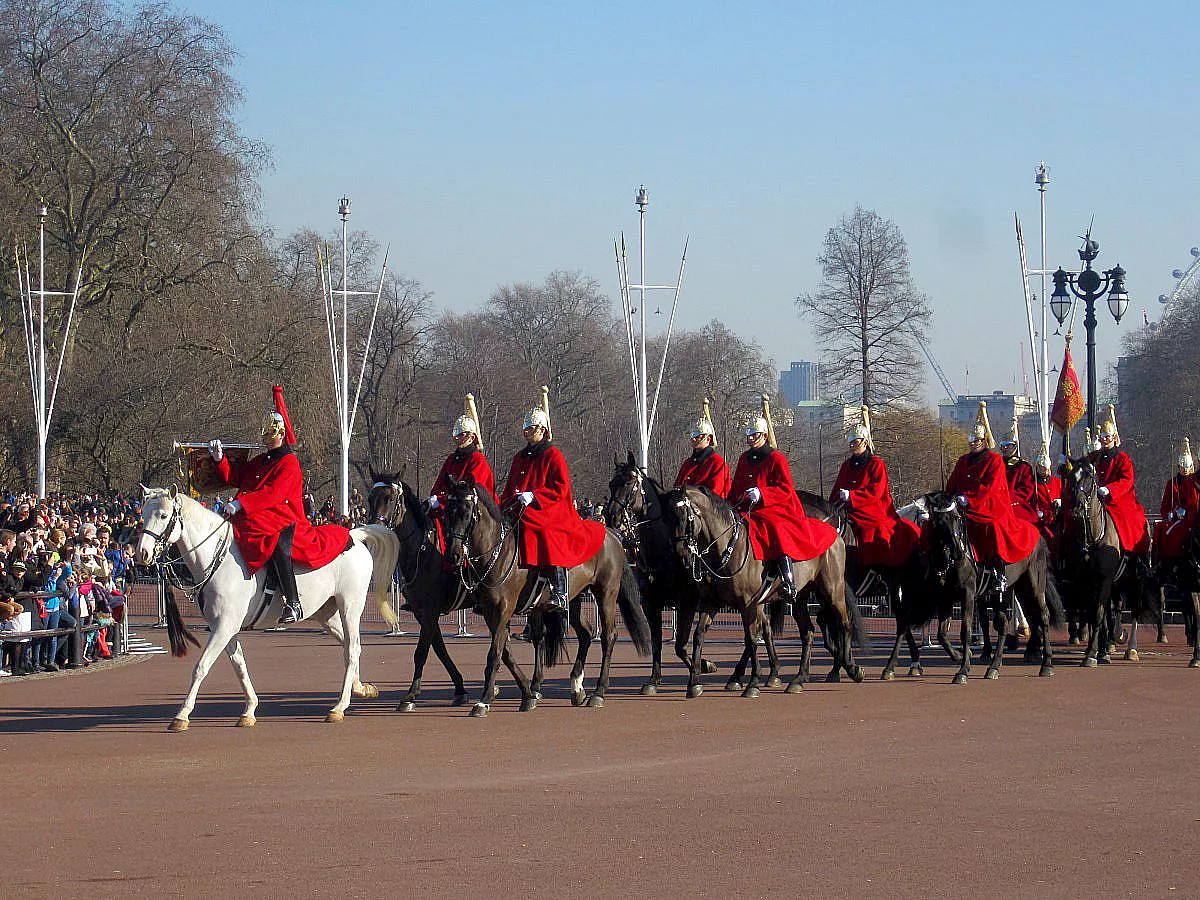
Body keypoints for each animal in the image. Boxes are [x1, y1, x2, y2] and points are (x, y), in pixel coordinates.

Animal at [135, 487, 398, 734]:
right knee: (348, 647)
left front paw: (182, 714)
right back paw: (359, 688)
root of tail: (352, 535)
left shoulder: (223, 628)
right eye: (143, 515)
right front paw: (249, 709)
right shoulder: (224, 628)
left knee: (352, 649)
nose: (142, 554)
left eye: (163, 515)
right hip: (327, 614)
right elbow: (239, 665)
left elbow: (201, 667)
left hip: (350, 607)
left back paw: (339, 706)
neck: (218, 558)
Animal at [441, 475, 652, 715]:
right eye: (447, 511)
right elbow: (506, 653)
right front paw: (527, 693)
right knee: (586, 633)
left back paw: (598, 691)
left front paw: (484, 700)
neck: (498, 552)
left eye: (466, 511)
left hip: (606, 594)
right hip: (574, 599)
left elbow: (495, 654)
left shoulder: (504, 609)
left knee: (608, 636)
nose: (453, 554)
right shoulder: (489, 611)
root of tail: (612, 534)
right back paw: (577, 687)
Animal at [667, 487, 864, 696]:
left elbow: (752, 639)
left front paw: (753, 682)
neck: (728, 548)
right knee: (808, 632)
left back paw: (851, 667)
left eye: (684, 517)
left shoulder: (749, 605)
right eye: (669, 517)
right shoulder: (710, 603)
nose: (681, 555)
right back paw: (799, 678)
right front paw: (694, 681)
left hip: (832, 590)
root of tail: (835, 534)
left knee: (845, 623)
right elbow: (698, 635)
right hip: (800, 598)